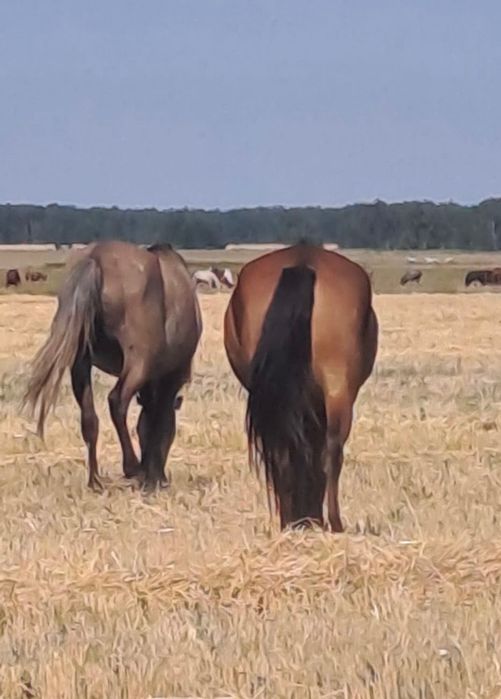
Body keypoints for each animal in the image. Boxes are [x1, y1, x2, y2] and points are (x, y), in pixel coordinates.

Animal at [23, 240, 202, 491]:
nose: (159, 476)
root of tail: (95, 259)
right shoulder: (172, 376)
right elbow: (160, 419)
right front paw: (153, 476)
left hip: (81, 362)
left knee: (89, 418)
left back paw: (95, 480)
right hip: (138, 361)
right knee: (116, 401)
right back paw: (132, 467)